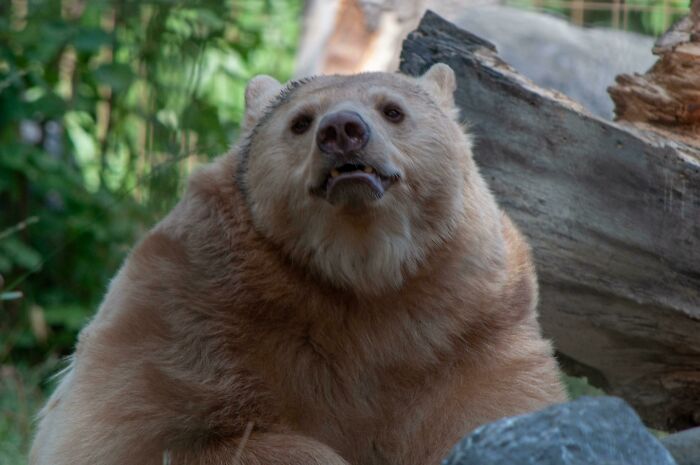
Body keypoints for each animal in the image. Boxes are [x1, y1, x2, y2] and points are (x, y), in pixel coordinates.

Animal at [30, 63, 566, 465]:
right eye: (301, 121)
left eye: (393, 110)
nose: (343, 130)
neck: (359, 273)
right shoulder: (186, 307)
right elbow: (129, 431)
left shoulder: (466, 323)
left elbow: (488, 407)